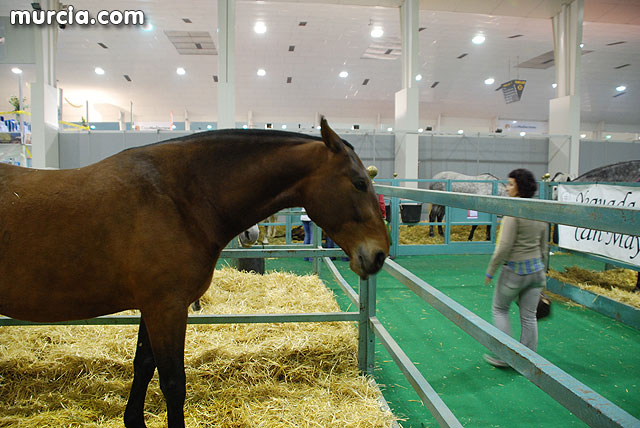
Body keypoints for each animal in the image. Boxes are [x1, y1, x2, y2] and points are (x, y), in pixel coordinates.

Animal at [0, 117, 390, 428]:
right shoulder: (167, 308)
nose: (379, 254)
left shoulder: (154, 307)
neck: (178, 198)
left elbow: (143, 365)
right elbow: (173, 382)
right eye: (359, 182)